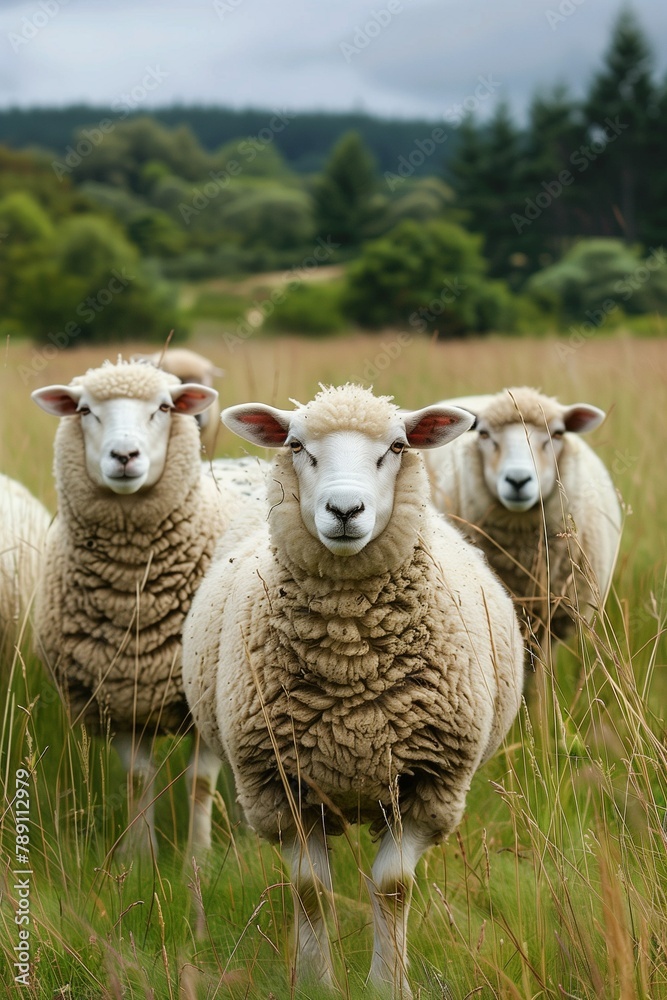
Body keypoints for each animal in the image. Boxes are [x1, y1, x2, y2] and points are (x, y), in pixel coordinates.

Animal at [31, 359, 266, 857]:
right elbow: (138, 782)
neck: (133, 593)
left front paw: (197, 858)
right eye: (84, 410)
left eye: (163, 407)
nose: (124, 456)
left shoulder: (200, 695)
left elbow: (198, 785)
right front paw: (138, 858)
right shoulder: (118, 703)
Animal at [182, 384, 524, 996]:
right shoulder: (279, 786)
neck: (349, 661)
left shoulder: (429, 783)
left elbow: (392, 889)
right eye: (296, 445)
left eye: (397, 446)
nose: (345, 511)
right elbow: (311, 890)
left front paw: (389, 983)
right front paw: (317, 982)